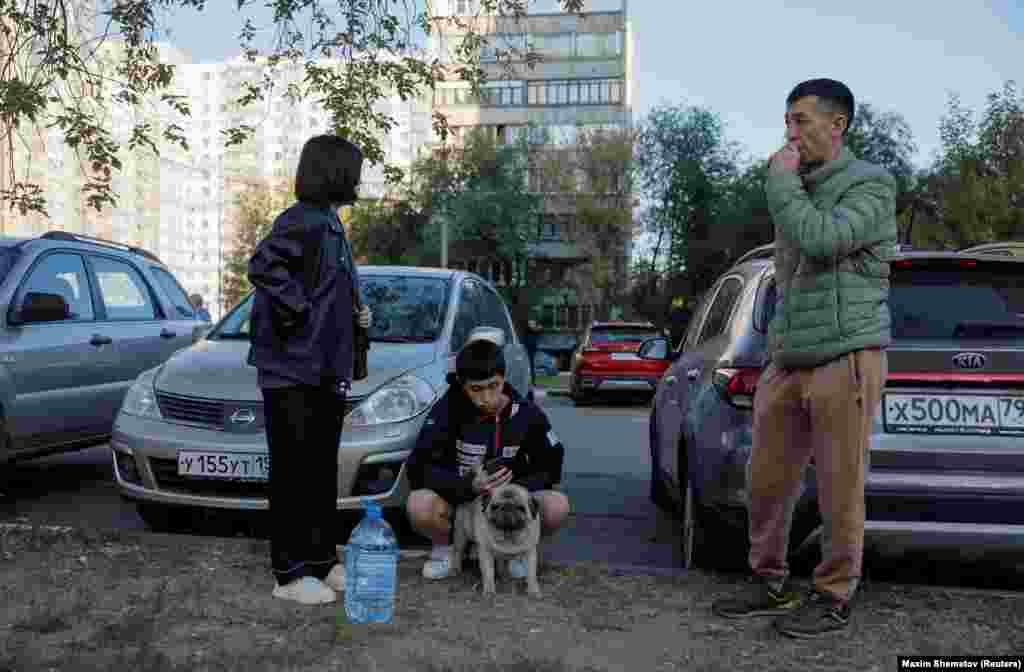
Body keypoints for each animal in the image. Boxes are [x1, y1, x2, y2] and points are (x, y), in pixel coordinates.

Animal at [450, 463, 544, 598]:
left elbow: (531, 575)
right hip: (461, 534)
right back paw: (455, 569)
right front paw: (489, 591)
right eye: (495, 507)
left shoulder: (530, 553)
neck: (508, 533)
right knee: (457, 552)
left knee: (501, 562)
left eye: (521, 508)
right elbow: (488, 573)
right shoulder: (485, 552)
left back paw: (504, 575)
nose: (507, 508)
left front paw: (533, 591)